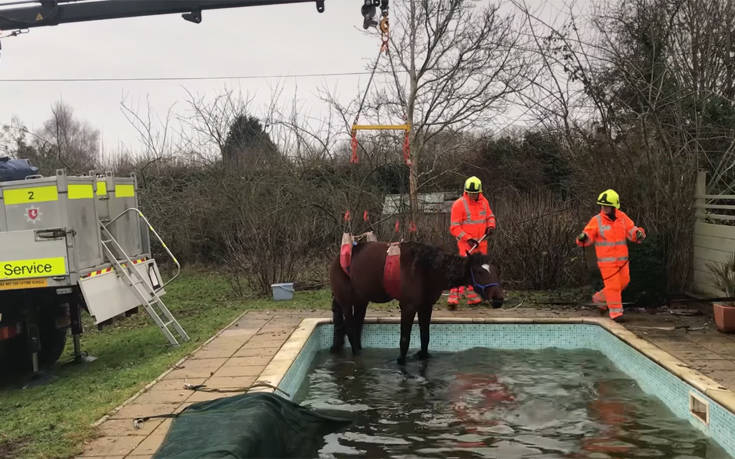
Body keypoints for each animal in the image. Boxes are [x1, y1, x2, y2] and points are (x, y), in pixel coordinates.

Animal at [330, 241, 506, 366]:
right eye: (479, 272)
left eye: (497, 271)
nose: (498, 299)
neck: (426, 268)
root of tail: (339, 258)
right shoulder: (408, 307)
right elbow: (404, 340)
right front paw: (401, 361)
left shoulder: (426, 307)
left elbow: (425, 336)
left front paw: (423, 355)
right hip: (346, 302)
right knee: (350, 329)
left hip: (361, 302)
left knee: (355, 327)